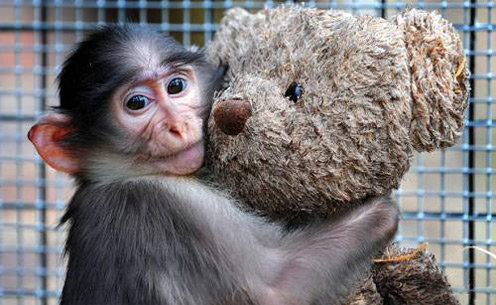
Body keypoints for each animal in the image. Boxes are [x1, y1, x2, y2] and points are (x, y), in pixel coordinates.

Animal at [28, 25, 400, 304]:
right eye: (137, 103)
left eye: (176, 85)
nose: (177, 125)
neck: (120, 176)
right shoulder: (165, 205)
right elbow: (278, 289)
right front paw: (382, 207)